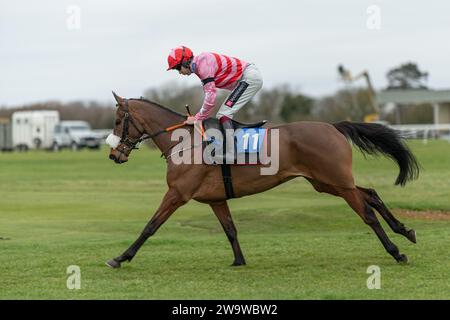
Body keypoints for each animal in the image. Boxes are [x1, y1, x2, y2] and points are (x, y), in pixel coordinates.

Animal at [105, 92, 418, 268]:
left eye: (119, 120)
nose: (113, 154)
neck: (185, 142)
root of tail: (333, 126)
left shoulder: (177, 193)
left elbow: (150, 226)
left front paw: (120, 257)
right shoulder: (216, 199)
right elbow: (230, 230)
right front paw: (239, 260)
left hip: (336, 181)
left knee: (366, 213)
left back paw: (396, 252)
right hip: (327, 182)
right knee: (370, 193)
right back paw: (405, 230)